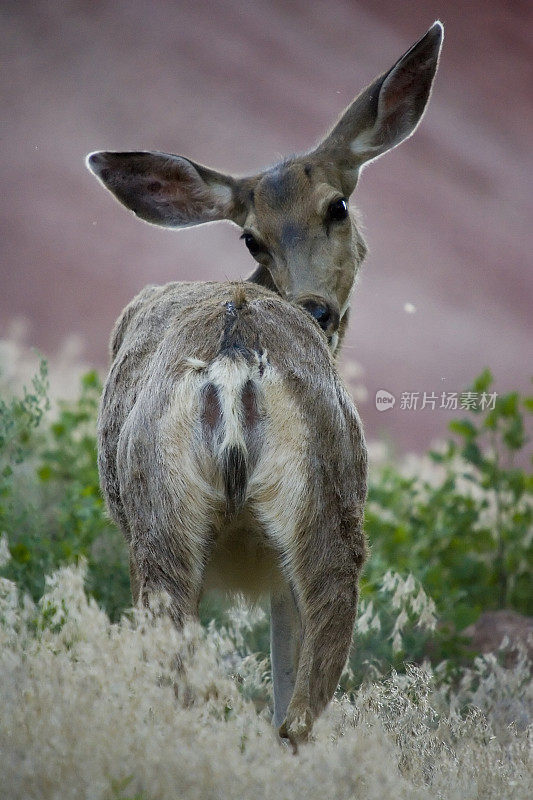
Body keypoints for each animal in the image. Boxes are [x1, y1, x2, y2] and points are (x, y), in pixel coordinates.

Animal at [87, 21, 442, 744]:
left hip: (162, 532)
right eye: (252, 238)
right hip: (330, 520)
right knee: (297, 713)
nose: (316, 308)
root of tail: (232, 361)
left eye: (336, 206)